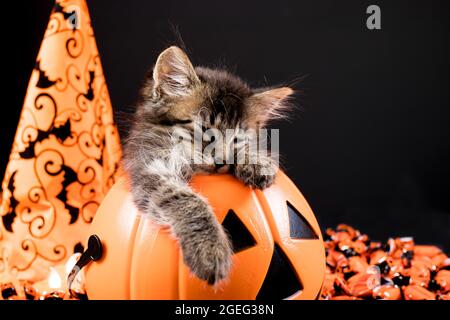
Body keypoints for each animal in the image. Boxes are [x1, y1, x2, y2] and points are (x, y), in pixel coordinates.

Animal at [123, 45, 294, 284]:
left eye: (237, 139)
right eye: (206, 131)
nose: (221, 161)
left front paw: (256, 162)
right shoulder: (152, 166)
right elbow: (189, 201)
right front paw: (209, 250)